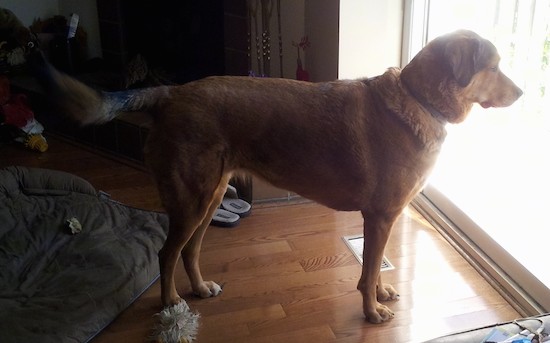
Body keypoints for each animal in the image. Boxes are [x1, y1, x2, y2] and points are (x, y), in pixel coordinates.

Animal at [29, 30, 520, 326]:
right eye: (494, 66)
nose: (522, 92)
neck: (420, 98)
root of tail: (170, 92)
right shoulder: (379, 217)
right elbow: (365, 270)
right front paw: (371, 309)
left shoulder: (386, 220)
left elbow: (375, 264)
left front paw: (380, 291)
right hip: (192, 199)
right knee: (166, 253)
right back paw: (170, 304)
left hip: (209, 198)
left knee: (189, 251)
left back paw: (201, 288)